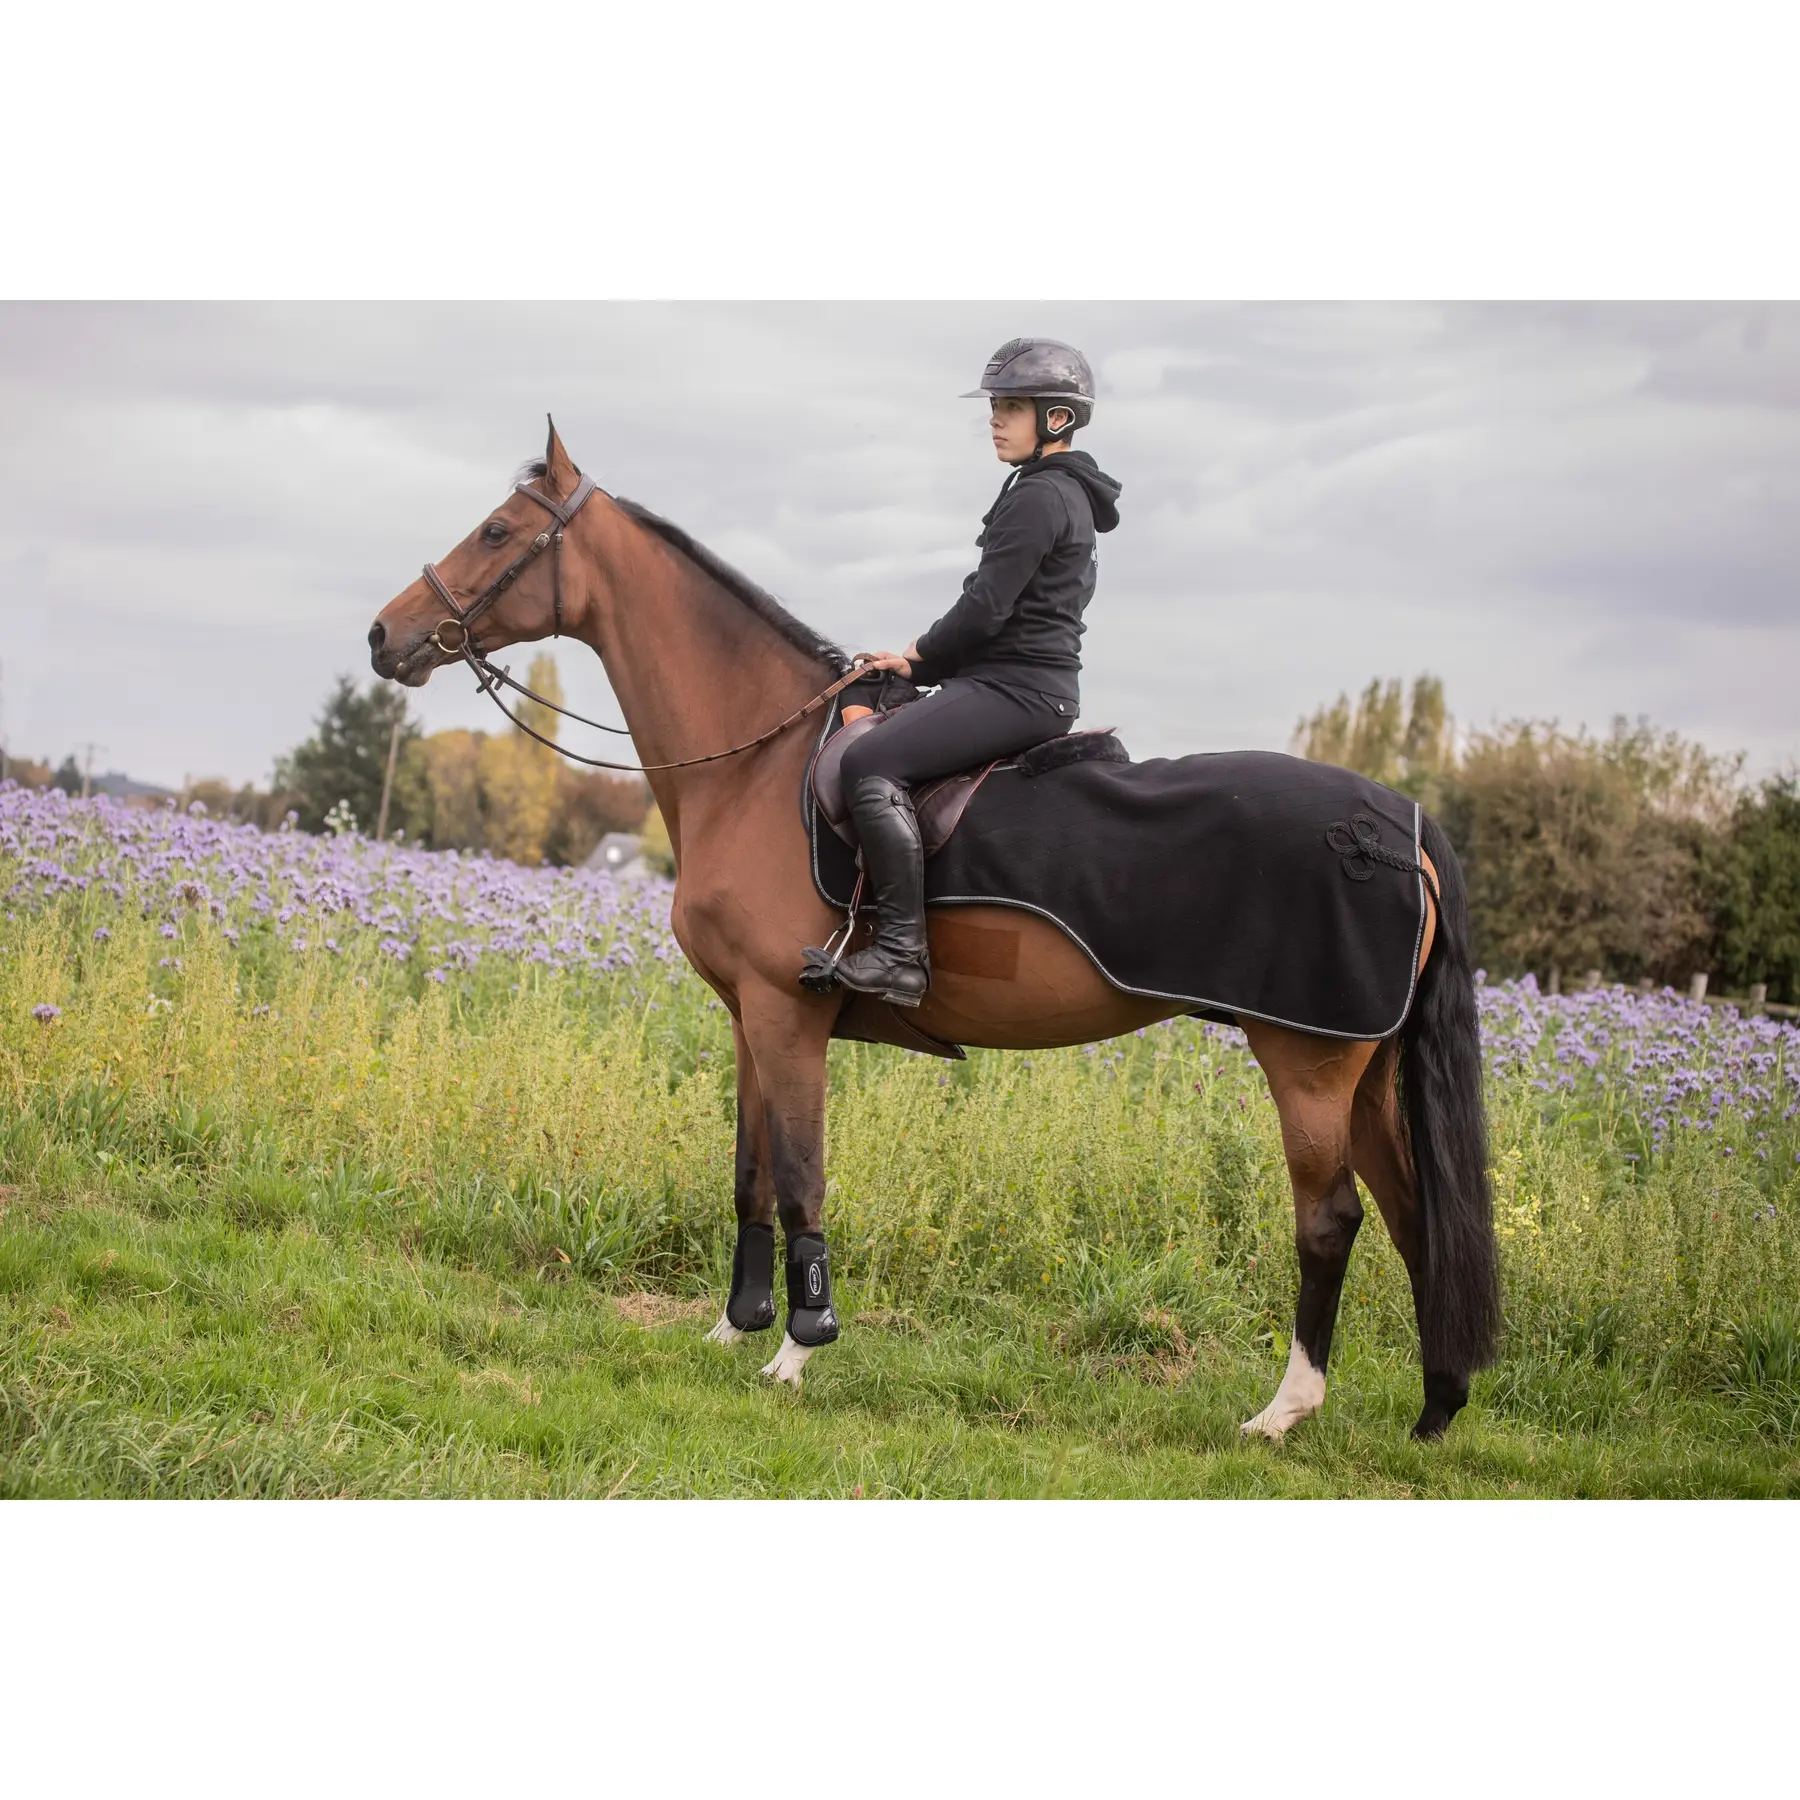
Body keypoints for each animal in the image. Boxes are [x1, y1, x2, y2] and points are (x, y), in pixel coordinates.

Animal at [367, 423, 1500, 1441]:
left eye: (498, 529)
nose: (383, 636)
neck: (757, 765)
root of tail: (1396, 824)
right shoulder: (747, 1019)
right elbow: (748, 1176)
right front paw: (736, 1328)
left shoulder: (788, 1017)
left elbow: (801, 1180)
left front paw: (799, 1347)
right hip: (1362, 1069)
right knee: (1415, 1216)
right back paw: (1438, 1406)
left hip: (1305, 1061)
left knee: (1332, 1219)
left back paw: (1285, 1410)